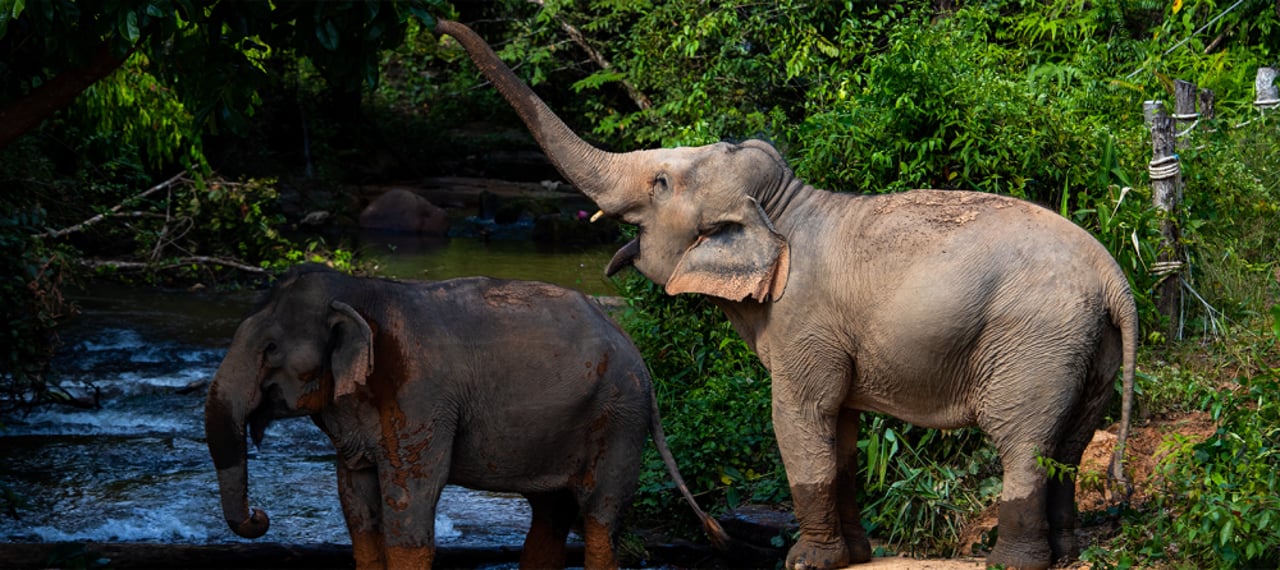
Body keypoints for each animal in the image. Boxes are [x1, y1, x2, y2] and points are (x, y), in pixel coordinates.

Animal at [207, 265, 732, 568]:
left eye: (270, 350)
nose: (259, 516)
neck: (361, 292)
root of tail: (637, 355)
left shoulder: (420, 394)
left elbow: (411, 501)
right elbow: (356, 502)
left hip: (618, 416)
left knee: (600, 520)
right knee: (550, 514)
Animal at [435, 18, 1136, 568]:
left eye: (659, 184)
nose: (440, 27)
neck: (784, 206)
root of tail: (1114, 279)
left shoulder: (804, 319)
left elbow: (801, 417)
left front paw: (805, 562)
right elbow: (842, 428)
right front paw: (852, 557)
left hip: (1034, 340)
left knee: (1024, 442)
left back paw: (1013, 562)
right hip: (1089, 347)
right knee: (1072, 444)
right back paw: (1067, 554)